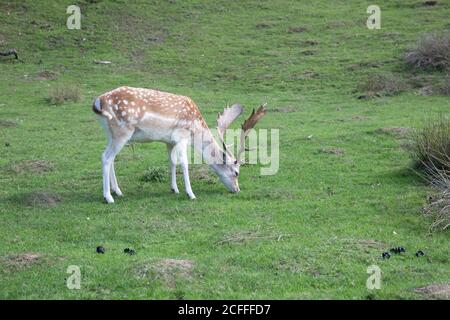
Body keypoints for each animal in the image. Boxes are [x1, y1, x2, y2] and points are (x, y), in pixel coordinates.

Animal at [92, 86, 266, 204]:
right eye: (236, 172)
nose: (237, 189)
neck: (195, 130)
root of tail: (97, 102)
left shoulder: (169, 141)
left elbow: (172, 161)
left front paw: (174, 189)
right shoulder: (182, 137)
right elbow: (184, 163)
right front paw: (190, 194)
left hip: (110, 133)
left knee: (109, 158)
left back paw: (118, 191)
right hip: (122, 131)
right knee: (106, 157)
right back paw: (108, 197)